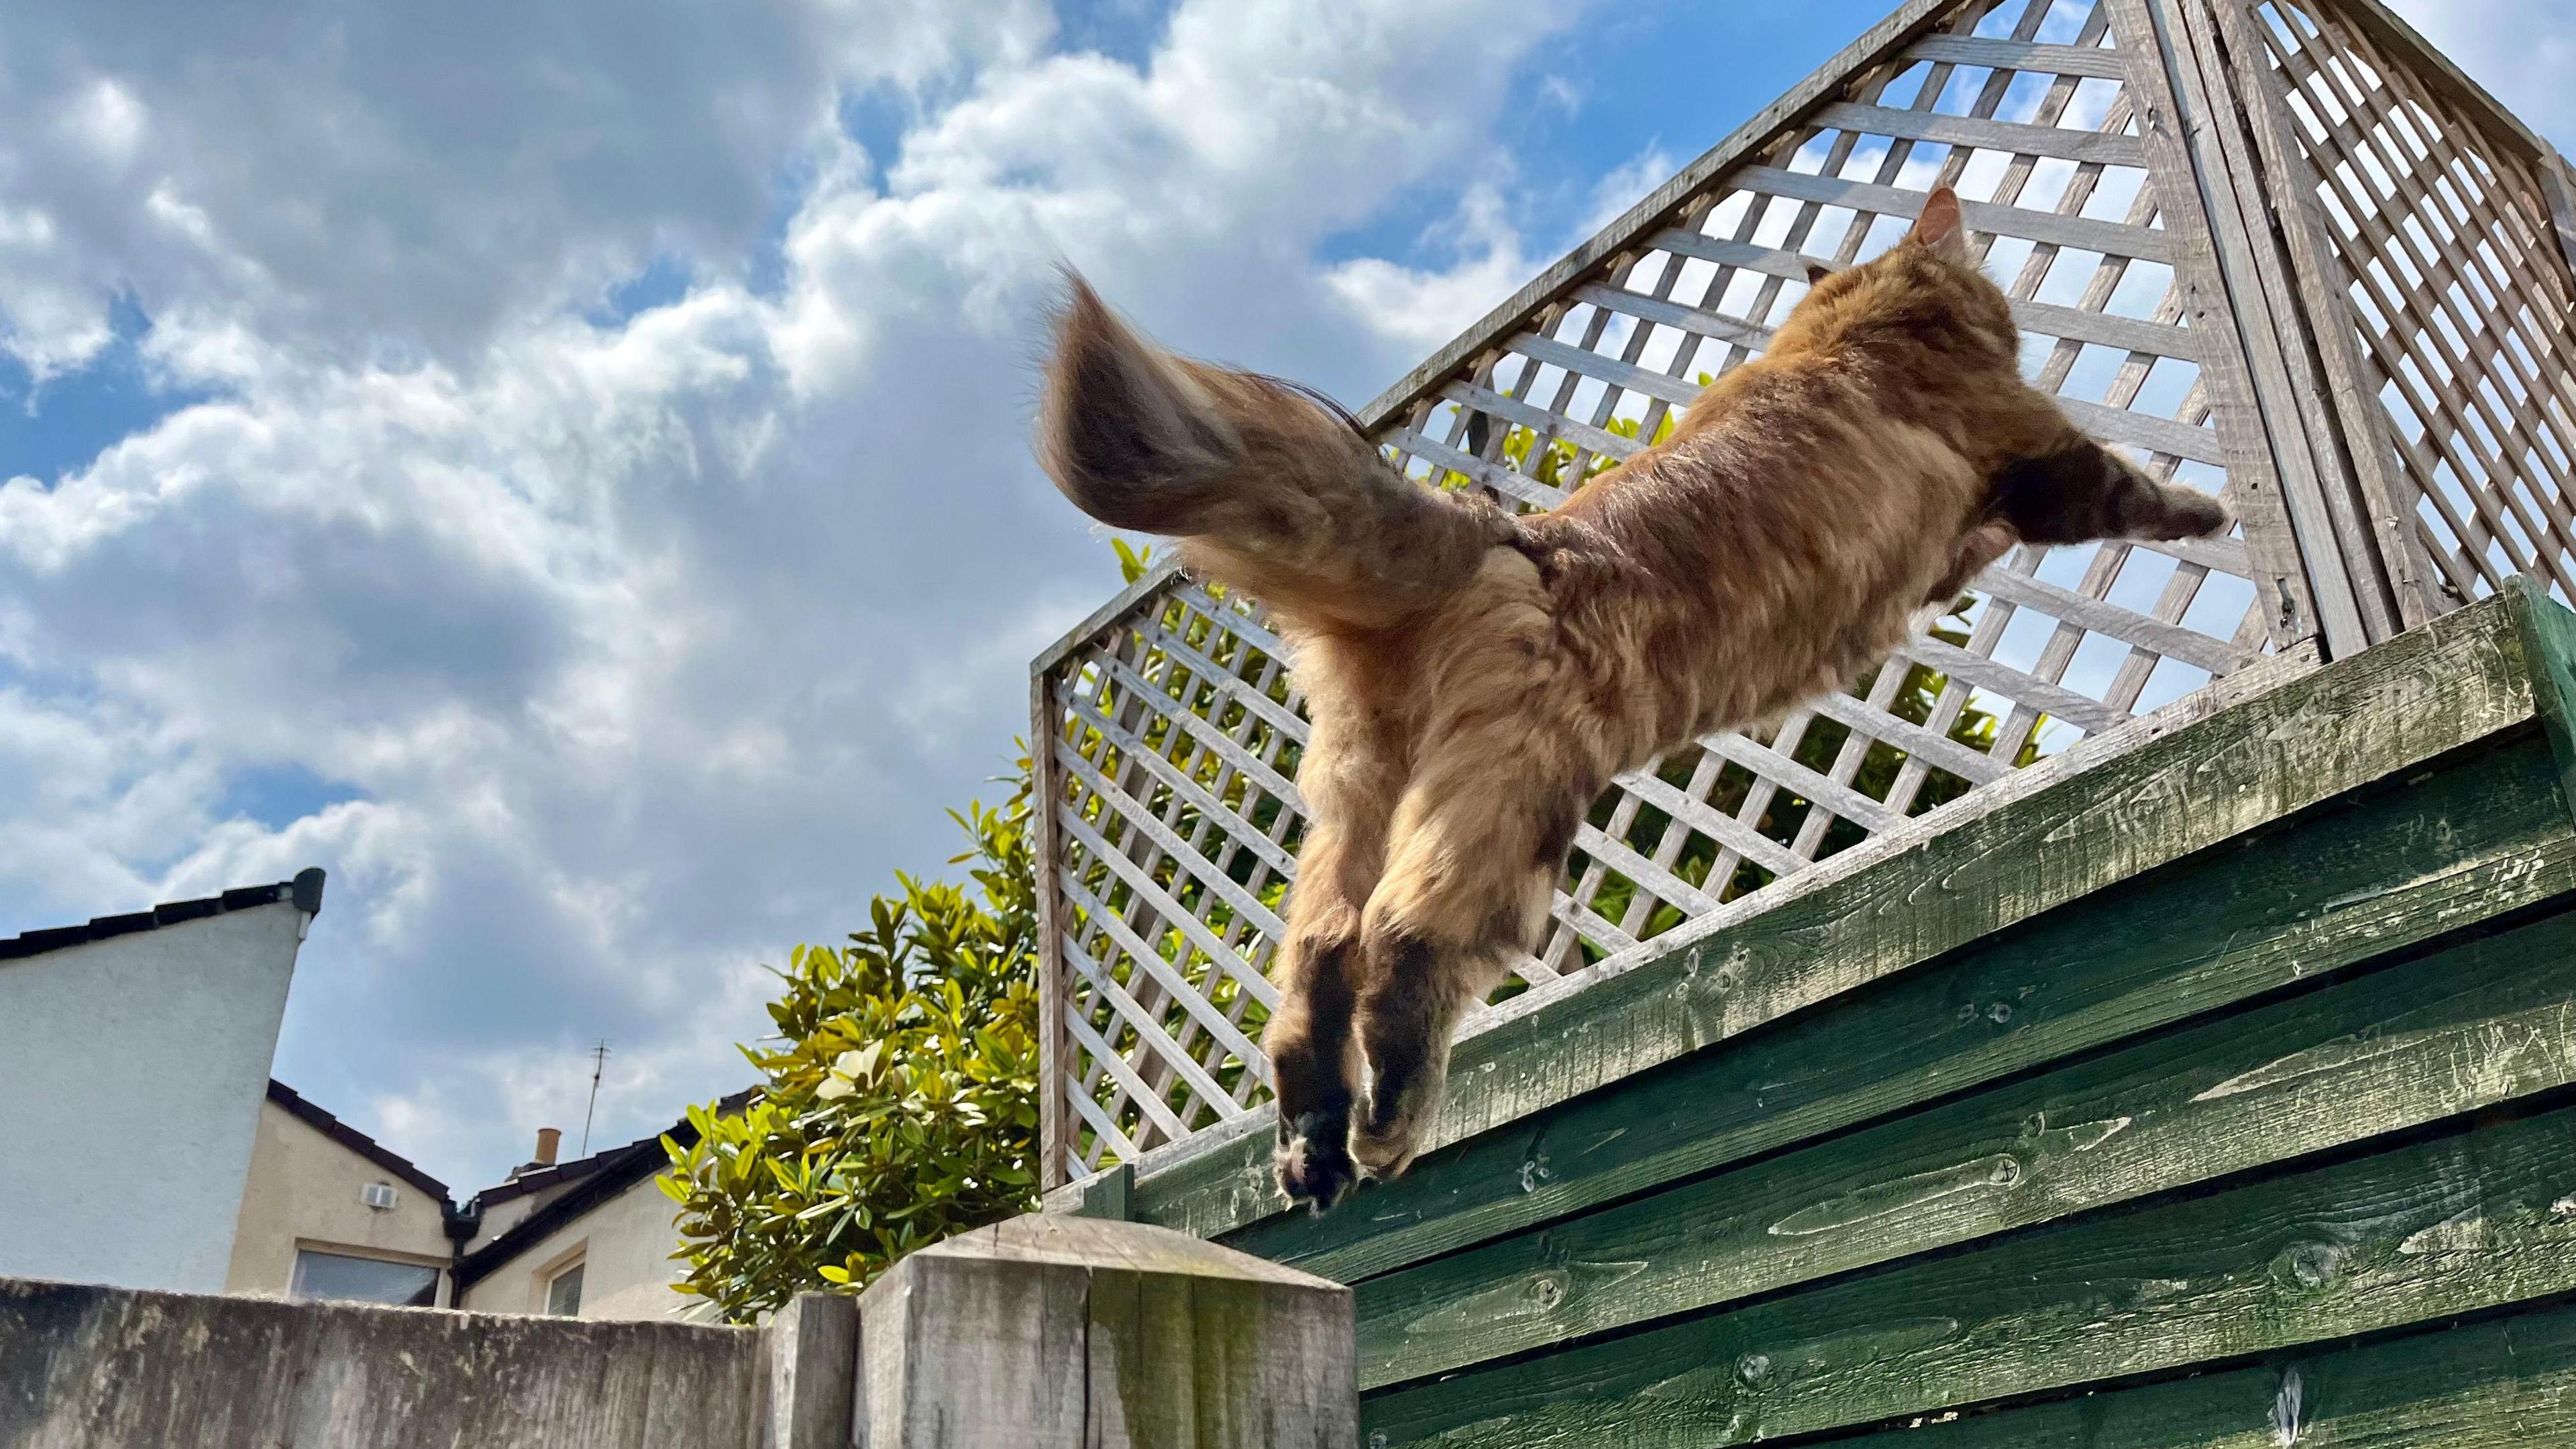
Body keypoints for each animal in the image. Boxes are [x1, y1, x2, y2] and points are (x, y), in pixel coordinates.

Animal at [1035, 189, 2225, 1206]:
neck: (1860, 325)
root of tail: (1505, 538)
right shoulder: (2026, 448)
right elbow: (2131, 493)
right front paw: (2208, 511)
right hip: (1521, 805)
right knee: (1406, 940)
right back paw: (1387, 1132)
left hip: (1359, 789)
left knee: (1316, 975)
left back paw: (1312, 1156)